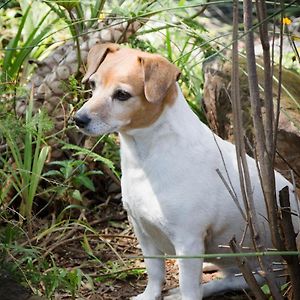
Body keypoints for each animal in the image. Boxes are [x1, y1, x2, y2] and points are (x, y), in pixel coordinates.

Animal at [74, 42, 298, 300]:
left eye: (122, 95)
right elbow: (155, 272)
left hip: (262, 273)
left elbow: (190, 287)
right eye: (93, 84)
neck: (146, 158)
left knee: (228, 282)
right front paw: (150, 295)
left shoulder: (188, 242)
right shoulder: (143, 231)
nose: (78, 119)